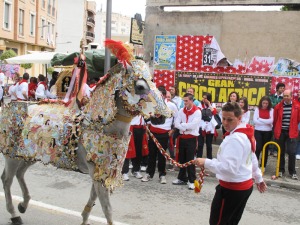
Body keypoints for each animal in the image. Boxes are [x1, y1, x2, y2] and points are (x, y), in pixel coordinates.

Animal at [0, 40, 171, 225]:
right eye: (139, 86)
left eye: (153, 80)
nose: (162, 117)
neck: (101, 125)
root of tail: (9, 106)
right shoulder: (97, 170)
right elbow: (107, 208)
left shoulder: (101, 172)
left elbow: (93, 198)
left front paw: (84, 218)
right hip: (11, 155)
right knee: (7, 179)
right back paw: (14, 214)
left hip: (28, 155)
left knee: (19, 174)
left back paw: (23, 205)